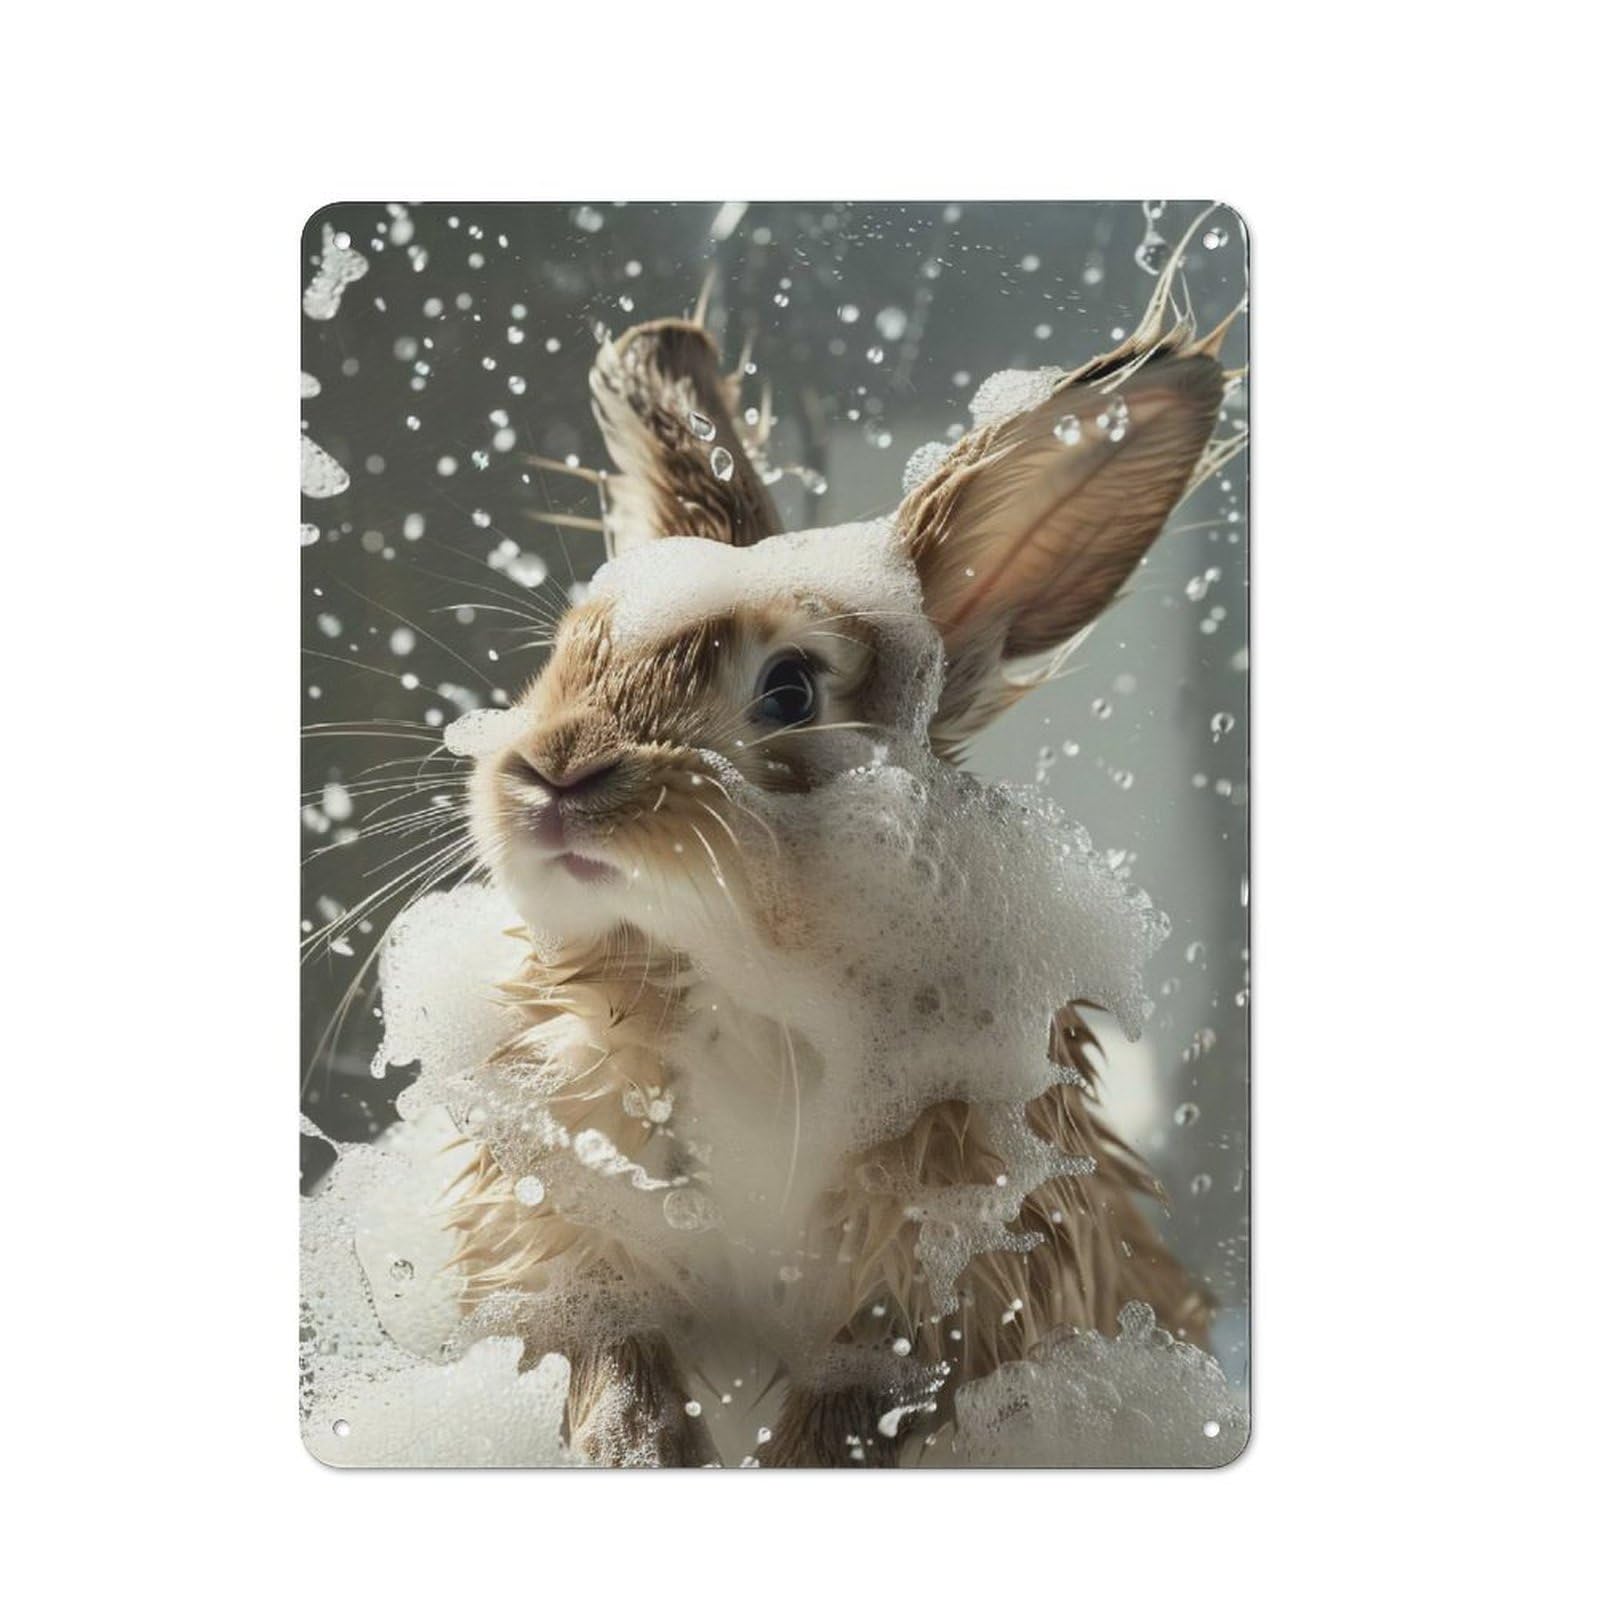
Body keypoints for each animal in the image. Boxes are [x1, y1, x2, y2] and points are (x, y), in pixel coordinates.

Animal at [445, 240, 1237, 1468]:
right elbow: (608, 1351)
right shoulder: (575, 1229)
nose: (554, 775)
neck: (737, 980)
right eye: (566, 651)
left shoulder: (950, 1278)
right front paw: (630, 1448)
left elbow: (855, 1405)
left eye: (788, 690)